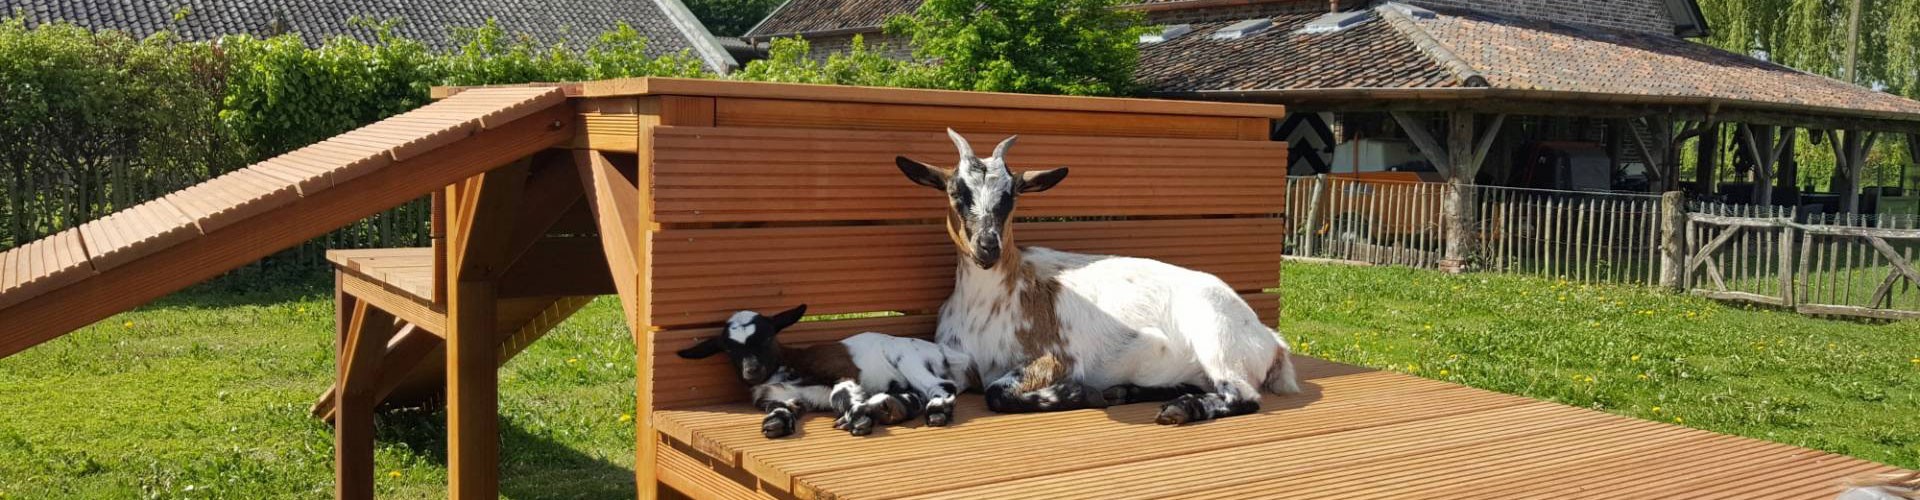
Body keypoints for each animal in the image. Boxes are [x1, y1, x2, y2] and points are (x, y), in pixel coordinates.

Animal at [675, 303, 975, 438]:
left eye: (767, 337)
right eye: (729, 349)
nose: (751, 371)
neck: (788, 365)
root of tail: (947, 353)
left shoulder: (842, 371)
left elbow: (839, 395)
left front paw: (858, 419)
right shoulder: (780, 397)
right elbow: (781, 407)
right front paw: (777, 423)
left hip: (907, 357)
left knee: (940, 386)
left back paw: (935, 411)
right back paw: (891, 407)